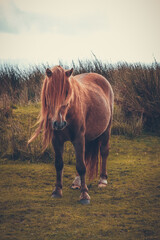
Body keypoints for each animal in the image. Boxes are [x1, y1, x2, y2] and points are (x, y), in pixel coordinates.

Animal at [28, 65, 114, 204]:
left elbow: (81, 166)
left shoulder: (78, 138)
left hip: (106, 130)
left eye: (67, 92)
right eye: (50, 92)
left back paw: (102, 180)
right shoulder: (57, 140)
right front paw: (57, 191)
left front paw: (84, 195)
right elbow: (59, 164)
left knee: (104, 152)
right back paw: (77, 182)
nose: (59, 123)